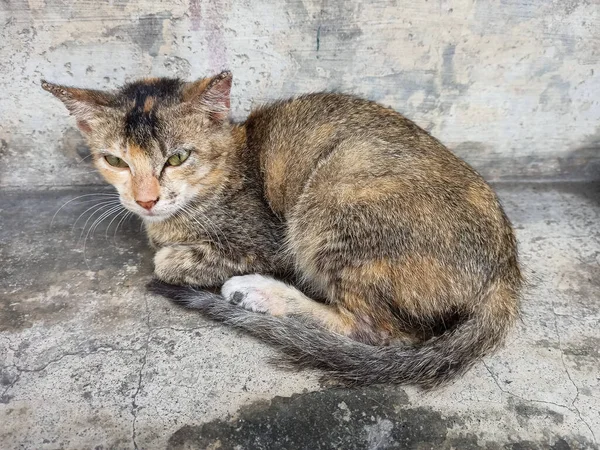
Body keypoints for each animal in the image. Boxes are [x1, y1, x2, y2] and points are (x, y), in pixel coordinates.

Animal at [41, 71, 520, 386]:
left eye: (177, 158)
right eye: (115, 160)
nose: (145, 199)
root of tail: (506, 277)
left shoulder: (268, 242)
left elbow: (168, 260)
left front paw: (173, 255)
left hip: (334, 191)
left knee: (380, 331)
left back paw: (260, 293)